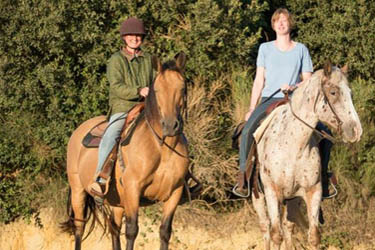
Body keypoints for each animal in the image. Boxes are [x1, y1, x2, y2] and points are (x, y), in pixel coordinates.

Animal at [62, 51, 191, 249]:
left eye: (182, 88)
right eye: (157, 90)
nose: (170, 125)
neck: (162, 149)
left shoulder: (174, 193)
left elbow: (164, 232)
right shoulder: (133, 190)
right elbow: (132, 230)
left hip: (116, 202)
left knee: (114, 229)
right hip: (78, 191)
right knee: (79, 228)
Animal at [251, 61, 362, 249]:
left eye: (351, 93)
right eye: (333, 92)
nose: (356, 130)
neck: (293, 145)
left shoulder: (313, 191)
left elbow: (314, 236)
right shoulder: (272, 191)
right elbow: (276, 235)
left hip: (292, 199)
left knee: (288, 226)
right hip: (257, 196)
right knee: (265, 227)